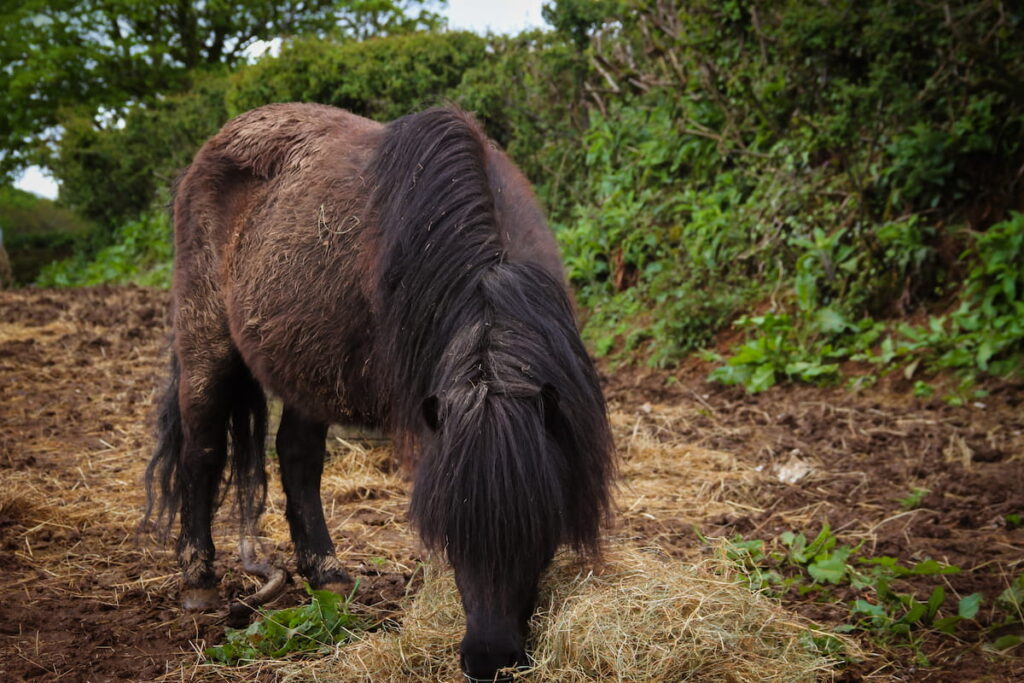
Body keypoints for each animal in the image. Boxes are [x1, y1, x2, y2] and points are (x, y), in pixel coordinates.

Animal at [140, 104, 610, 679]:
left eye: (539, 528)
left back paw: (328, 575)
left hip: (307, 364)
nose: (488, 660)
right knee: (202, 451)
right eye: (447, 532)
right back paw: (199, 581)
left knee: (297, 456)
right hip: (205, 343)